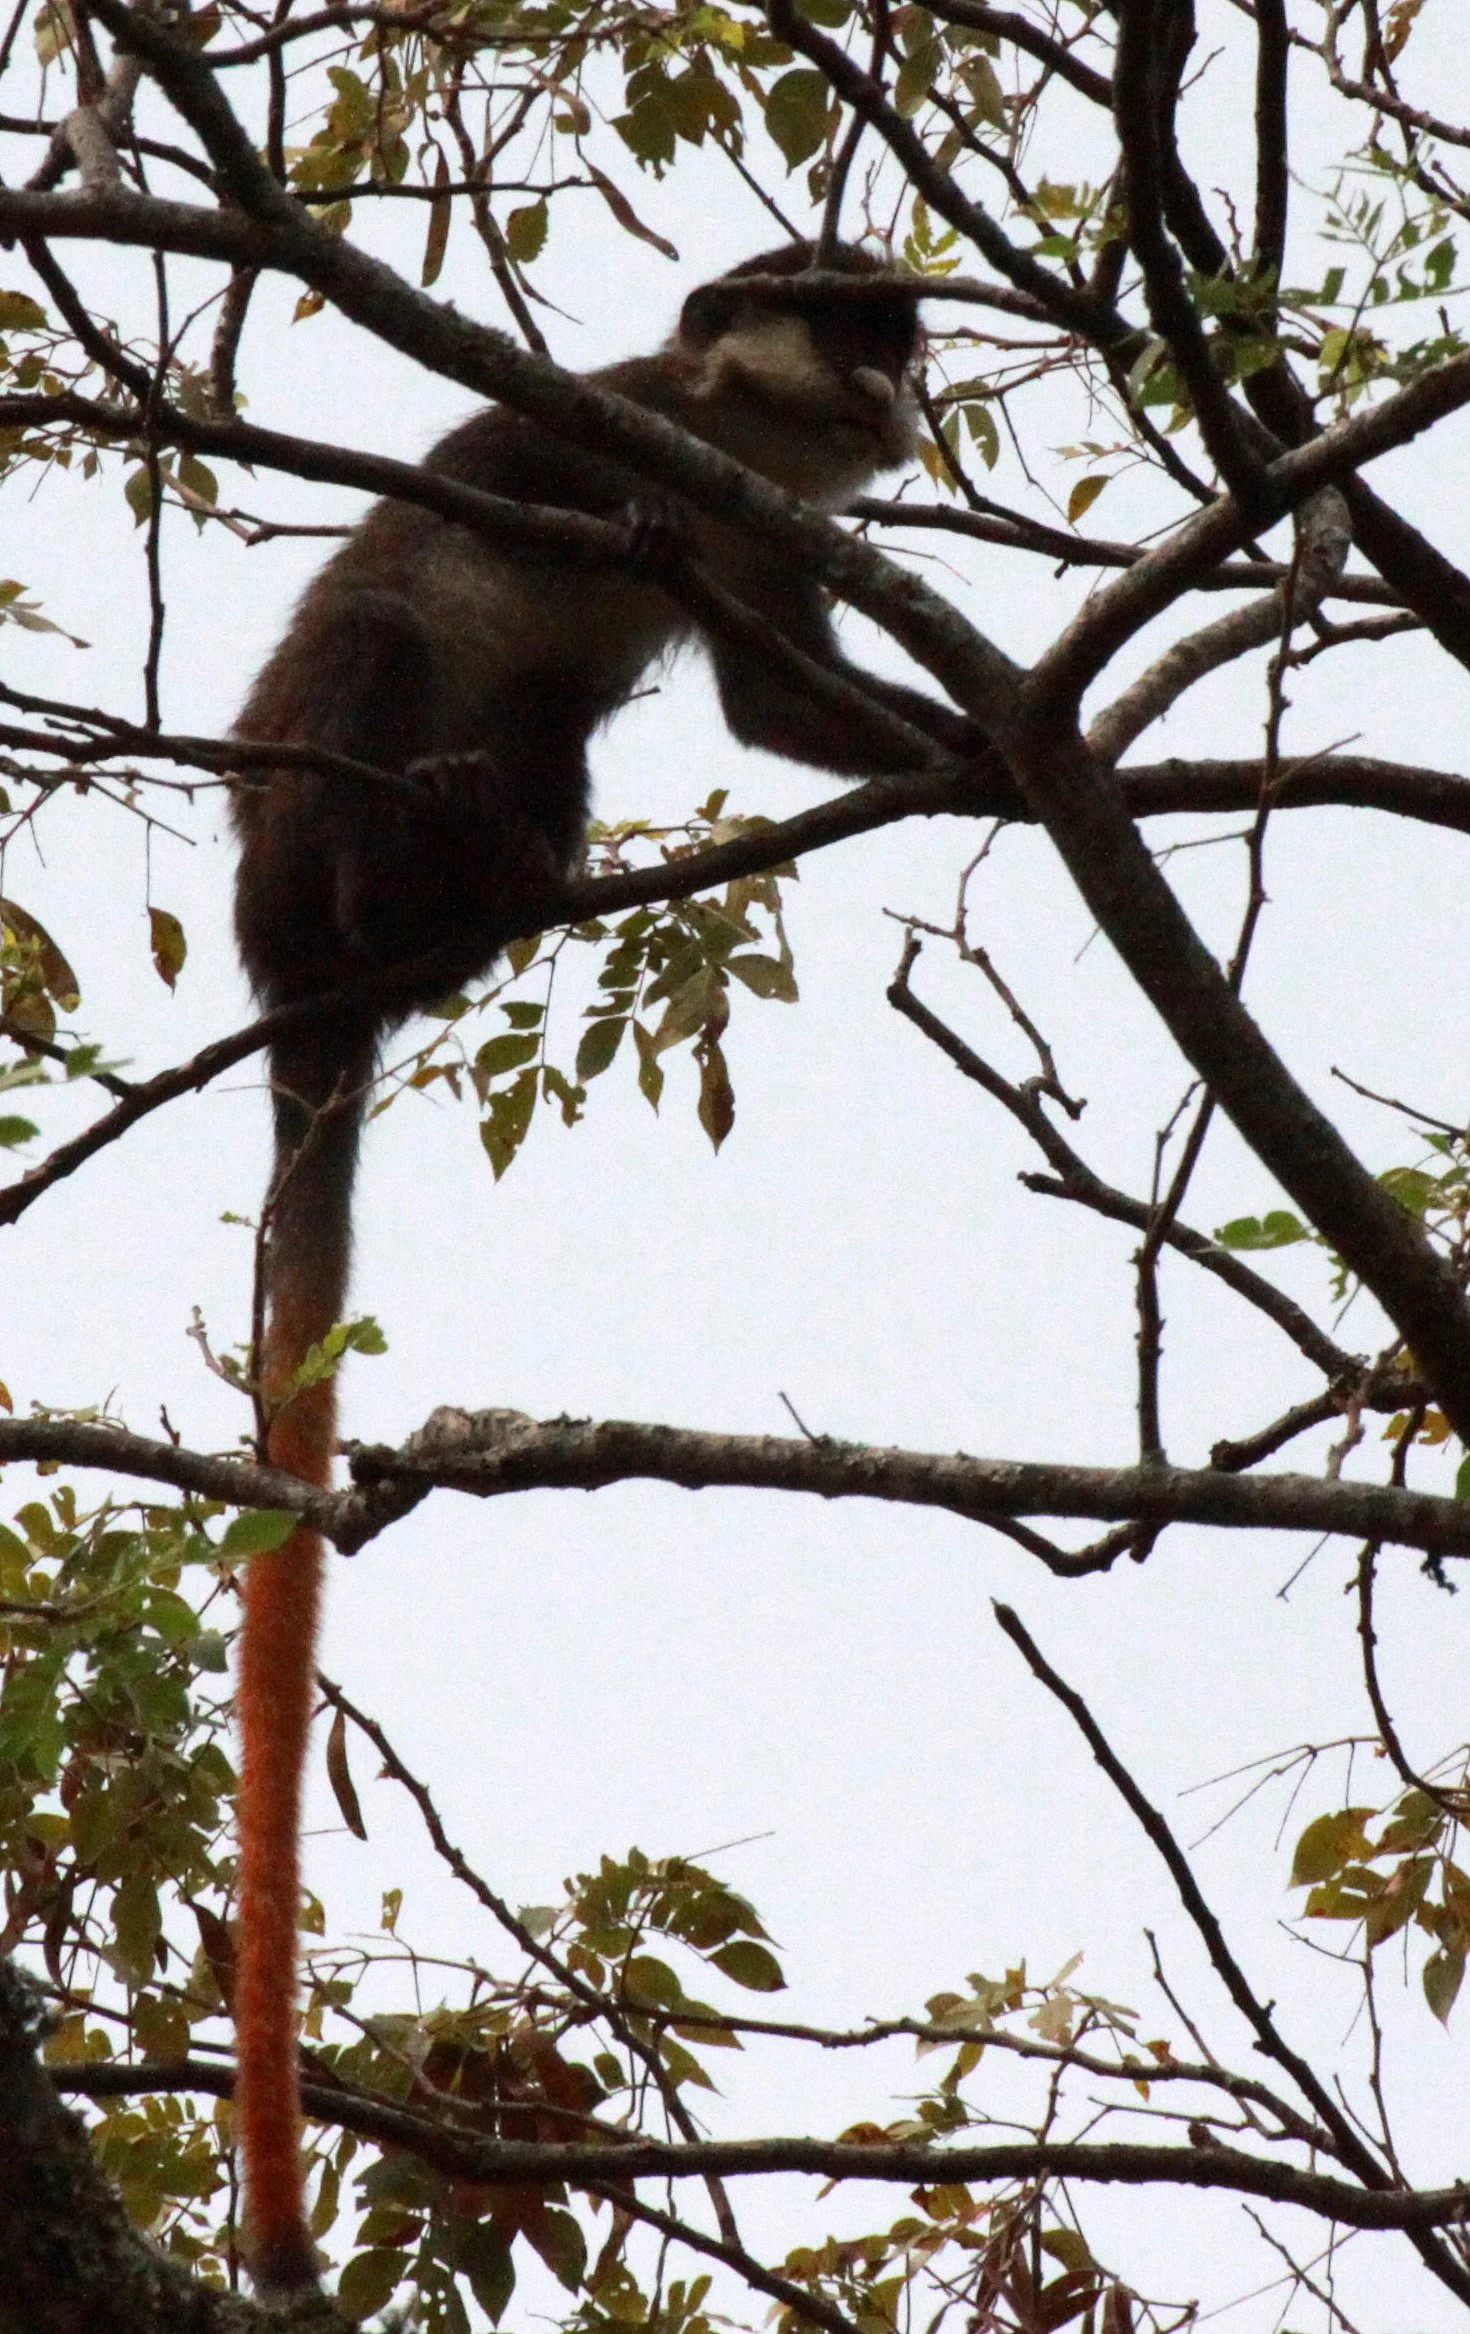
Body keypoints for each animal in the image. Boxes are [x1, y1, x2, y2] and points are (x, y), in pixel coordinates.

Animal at [228, 238, 978, 2294]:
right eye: (858, 326)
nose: (902, 390)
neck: (732, 437)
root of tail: (290, 984)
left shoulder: (772, 533)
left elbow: (782, 710)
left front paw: (1013, 759)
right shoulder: (612, 417)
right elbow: (494, 499)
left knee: (544, 752)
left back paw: (480, 892)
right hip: (300, 818)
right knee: (382, 630)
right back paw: (401, 882)